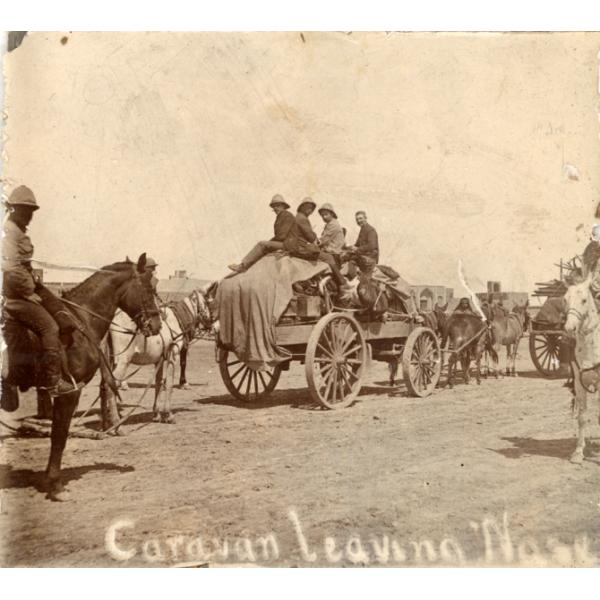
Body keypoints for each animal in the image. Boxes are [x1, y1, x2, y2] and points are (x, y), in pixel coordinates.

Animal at [0, 253, 162, 502]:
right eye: (148, 287)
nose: (157, 325)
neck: (80, 320)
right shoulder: (70, 392)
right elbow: (59, 436)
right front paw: (55, 485)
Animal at [105, 284, 218, 424]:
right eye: (211, 303)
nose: (216, 328)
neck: (176, 320)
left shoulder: (158, 360)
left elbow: (158, 383)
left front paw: (156, 413)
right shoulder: (172, 356)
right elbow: (169, 383)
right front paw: (168, 414)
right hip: (122, 361)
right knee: (111, 384)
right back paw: (115, 421)